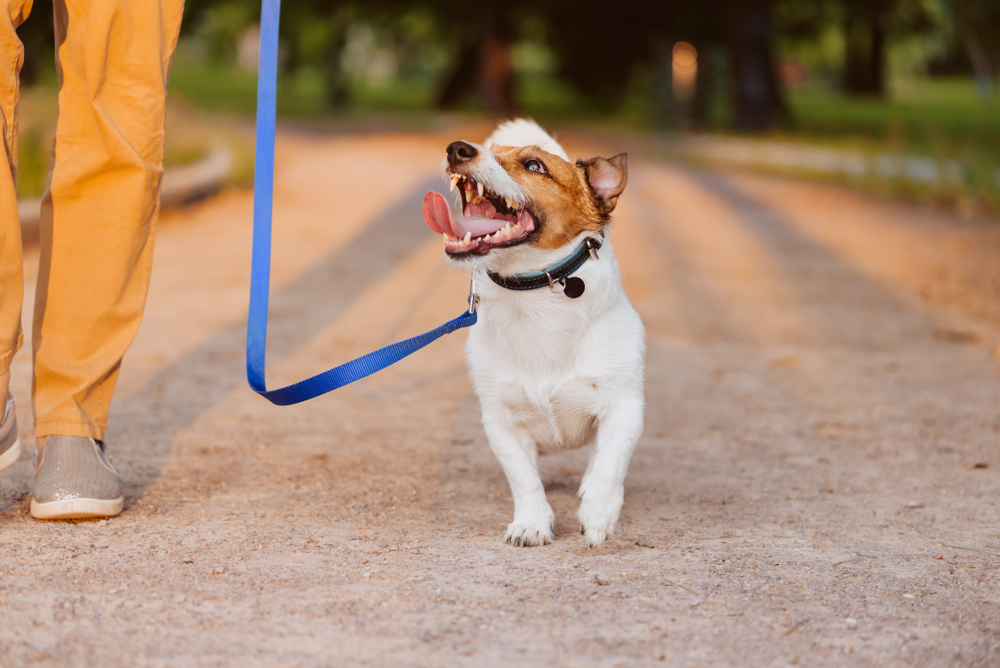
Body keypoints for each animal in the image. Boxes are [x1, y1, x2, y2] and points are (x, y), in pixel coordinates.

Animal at [420, 120, 640, 548]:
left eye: (534, 165)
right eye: (493, 149)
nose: (457, 149)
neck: (535, 297)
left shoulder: (625, 407)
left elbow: (610, 464)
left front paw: (599, 513)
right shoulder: (500, 421)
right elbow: (524, 479)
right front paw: (531, 523)